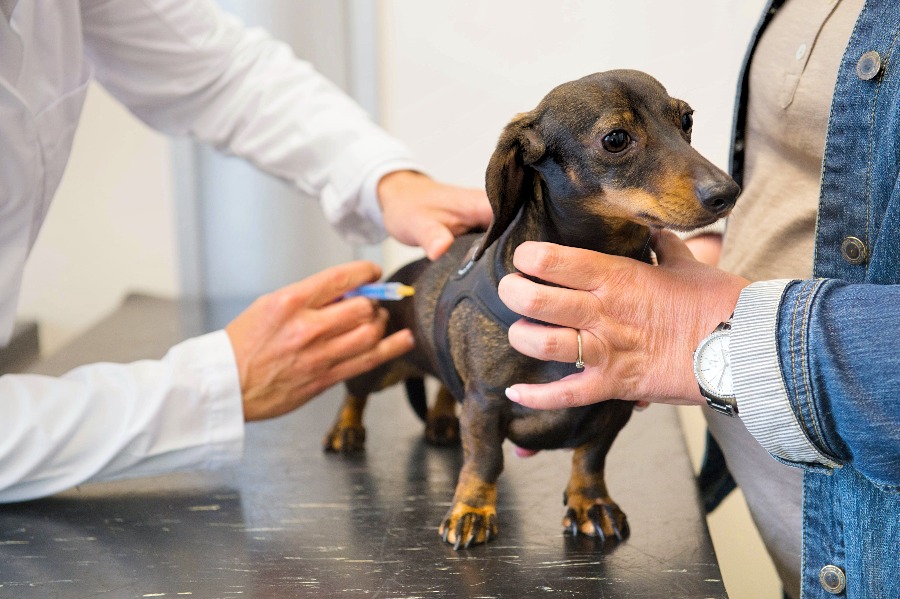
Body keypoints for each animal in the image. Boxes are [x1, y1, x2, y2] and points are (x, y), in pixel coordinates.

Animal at [324, 70, 740, 548]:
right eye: (616, 138)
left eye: (686, 120)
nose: (728, 192)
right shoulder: (485, 401)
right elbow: (484, 460)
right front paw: (471, 509)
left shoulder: (614, 403)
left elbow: (590, 458)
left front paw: (590, 502)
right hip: (383, 361)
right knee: (355, 391)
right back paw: (346, 429)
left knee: (446, 387)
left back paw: (442, 420)